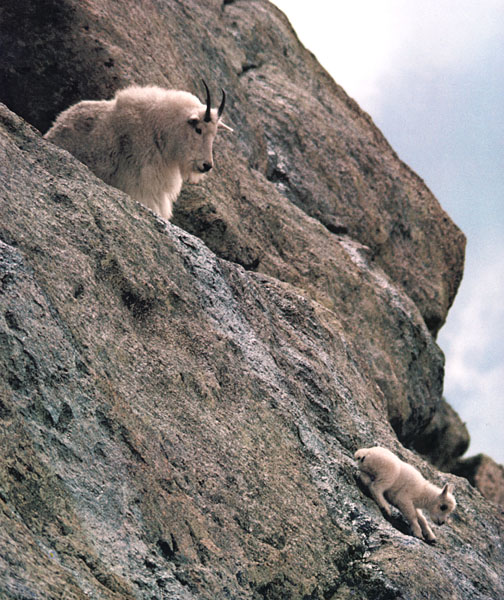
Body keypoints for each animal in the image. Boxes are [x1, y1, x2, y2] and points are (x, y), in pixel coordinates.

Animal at [44, 81, 231, 219]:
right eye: (198, 129)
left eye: (214, 134)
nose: (207, 165)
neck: (159, 131)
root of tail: (54, 127)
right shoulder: (140, 186)